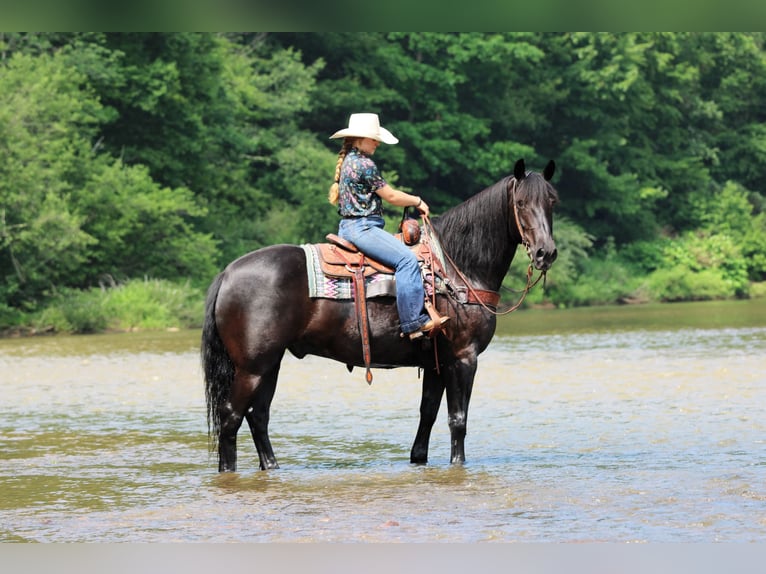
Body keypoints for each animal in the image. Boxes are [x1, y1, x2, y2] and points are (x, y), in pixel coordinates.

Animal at [202, 158, 558, 472]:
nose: (546, 252)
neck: (457, 266)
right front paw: (458, 464)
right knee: (231, 416)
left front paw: (418, 459)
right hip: (252, 367)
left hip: (269, 364)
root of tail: (227, 272)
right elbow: (458, 420)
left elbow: (427, 415)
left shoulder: (437, 363)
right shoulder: (463, 358)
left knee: (257, 415)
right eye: (521, 202)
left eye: (552, 201)